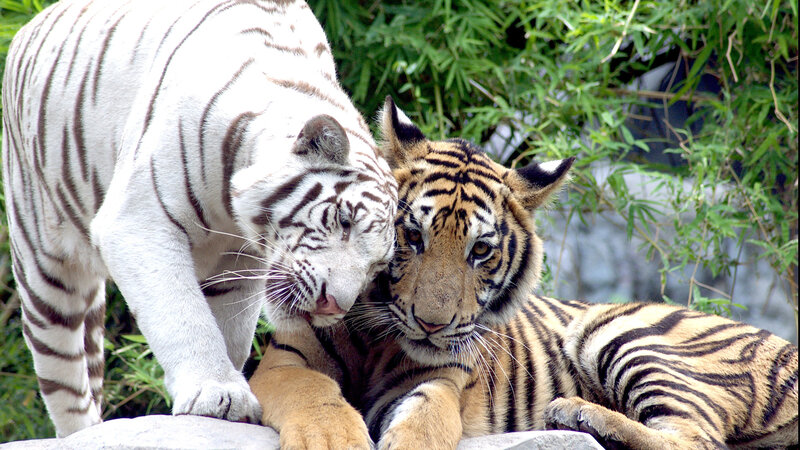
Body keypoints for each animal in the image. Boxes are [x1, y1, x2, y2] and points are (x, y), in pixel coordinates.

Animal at [2, 0, 396, 437]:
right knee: (64, 379)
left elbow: (229, 331)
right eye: (344, 220)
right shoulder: (138, 221)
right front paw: (216, 393)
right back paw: (84, 433)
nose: (333, 306)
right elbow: (184, 316)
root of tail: (30, 23)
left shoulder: (240, 262)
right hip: (44, 267)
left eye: (377, 266)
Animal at [248, 96, 799, 449]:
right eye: (412, 236)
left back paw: (579, 414)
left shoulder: (442, 380)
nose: (431, 325)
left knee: (697, 439)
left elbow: (426, 421)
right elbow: (315, 394)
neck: (376, 341)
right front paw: (329, 438)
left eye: (481, 250)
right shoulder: (283, 362)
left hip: (620, 331)